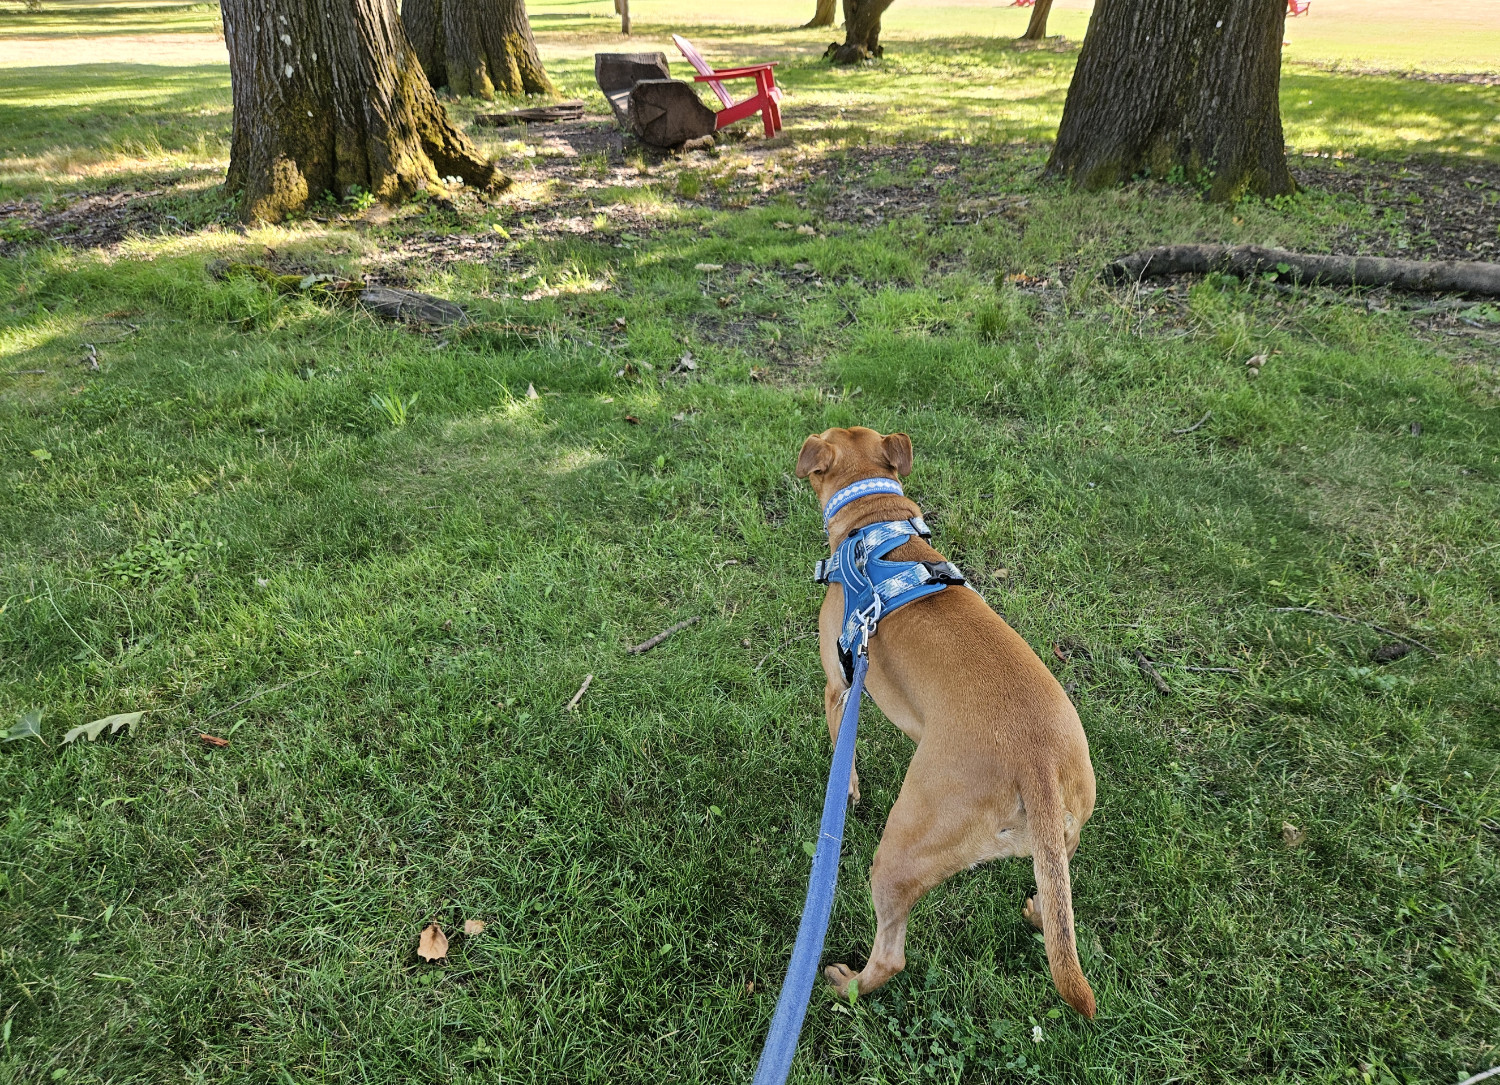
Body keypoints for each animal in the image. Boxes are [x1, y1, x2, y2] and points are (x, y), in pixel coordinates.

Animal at [798, 426, 1104, 1020]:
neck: (877, 527)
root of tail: (1036, 763)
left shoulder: (840, 687)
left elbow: (842, 755)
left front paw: (845, 788)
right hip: (1065, 835)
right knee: (1057, 904)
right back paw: (1038, 912)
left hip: (900, 854)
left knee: (890, 955)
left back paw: (846, 985)